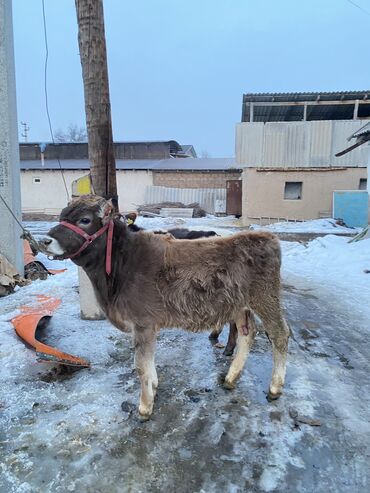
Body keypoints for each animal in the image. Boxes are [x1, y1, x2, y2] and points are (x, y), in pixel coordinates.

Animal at [39, 195, 290, 418]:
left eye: (84, 220)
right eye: (62, 216)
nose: (45, 241)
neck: (122, 265)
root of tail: (265, 236)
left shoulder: (143, 323)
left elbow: (141, 365)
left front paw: (144, 407)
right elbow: (148, 364)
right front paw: (153, 387)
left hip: (266, 299)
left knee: (279, 334)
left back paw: (275, 387)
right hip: (240, 306)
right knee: (247, 334)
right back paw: (231, 378)